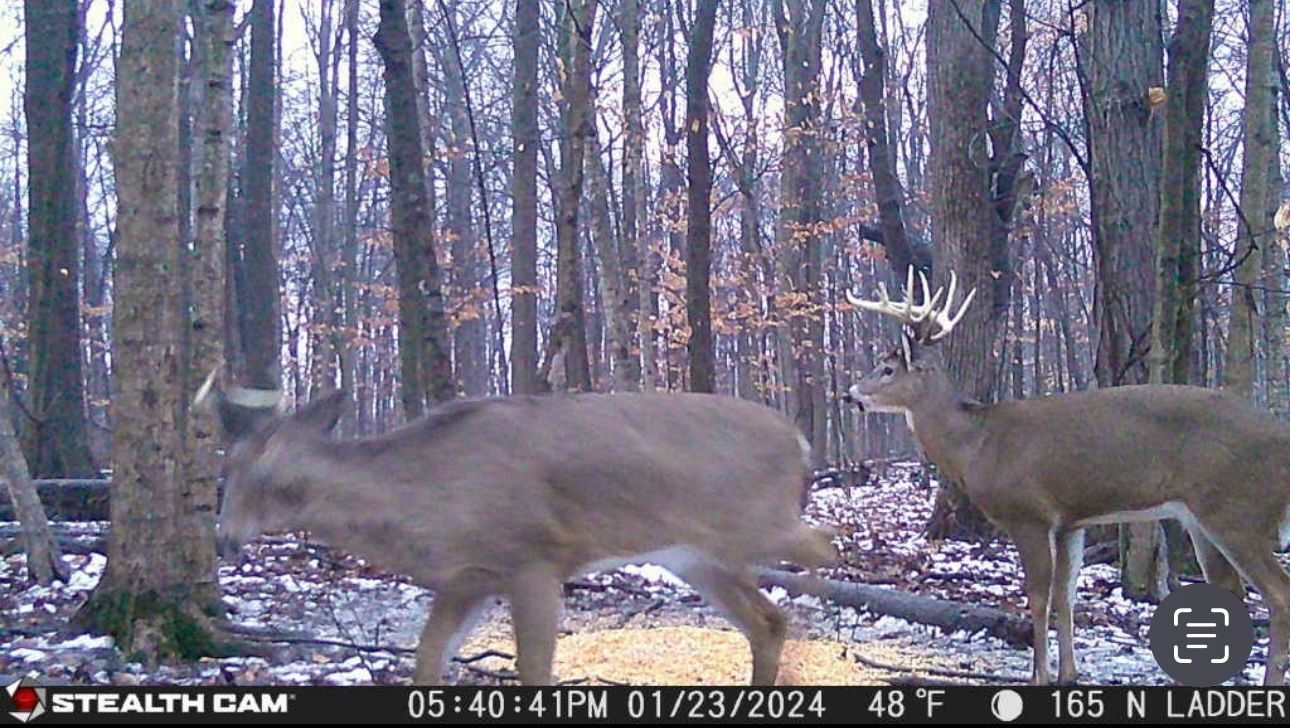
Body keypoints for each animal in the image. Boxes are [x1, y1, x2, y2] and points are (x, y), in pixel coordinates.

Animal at [195, 375, 837, 686]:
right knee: (767, 620)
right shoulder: (467, 578)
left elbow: (534, 671)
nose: (225, 540)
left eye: (275, 479)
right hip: (693, 554)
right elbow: (428, 660)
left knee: (823, 549)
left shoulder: (533, 558)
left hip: (758, 521)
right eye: (225, 469)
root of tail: (799, 438)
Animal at [844, 268, 1290, 685]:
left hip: (1238, 511)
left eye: (886, 369)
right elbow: (1065, 596)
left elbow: (1038, 596)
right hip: (1203, 518)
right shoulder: (1070, 522)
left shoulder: (1029, 515)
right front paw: (1068, 673)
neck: (977, 444)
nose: (850, 395)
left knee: (1277, 594)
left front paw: (1038, 675)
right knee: (1232, 590)